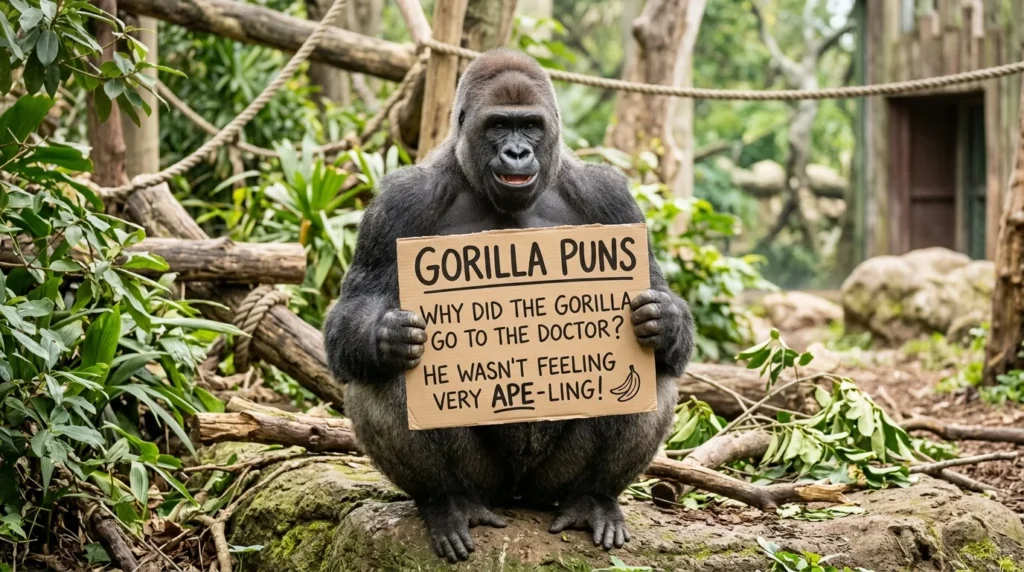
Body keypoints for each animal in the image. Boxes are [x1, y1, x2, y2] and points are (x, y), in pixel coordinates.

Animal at [323, 48, 695, 563]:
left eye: (531, 126)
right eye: (499, 125)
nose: (517, 152)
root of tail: (519, 495)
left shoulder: (610, 196)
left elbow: (658, 309)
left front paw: (662, 320)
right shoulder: (401, 200)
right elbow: (352, 314)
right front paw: (387, 336)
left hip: (549, 485)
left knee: (653, 372)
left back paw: (593, 499)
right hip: (490, 484)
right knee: (380, 380)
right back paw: (448, 501)